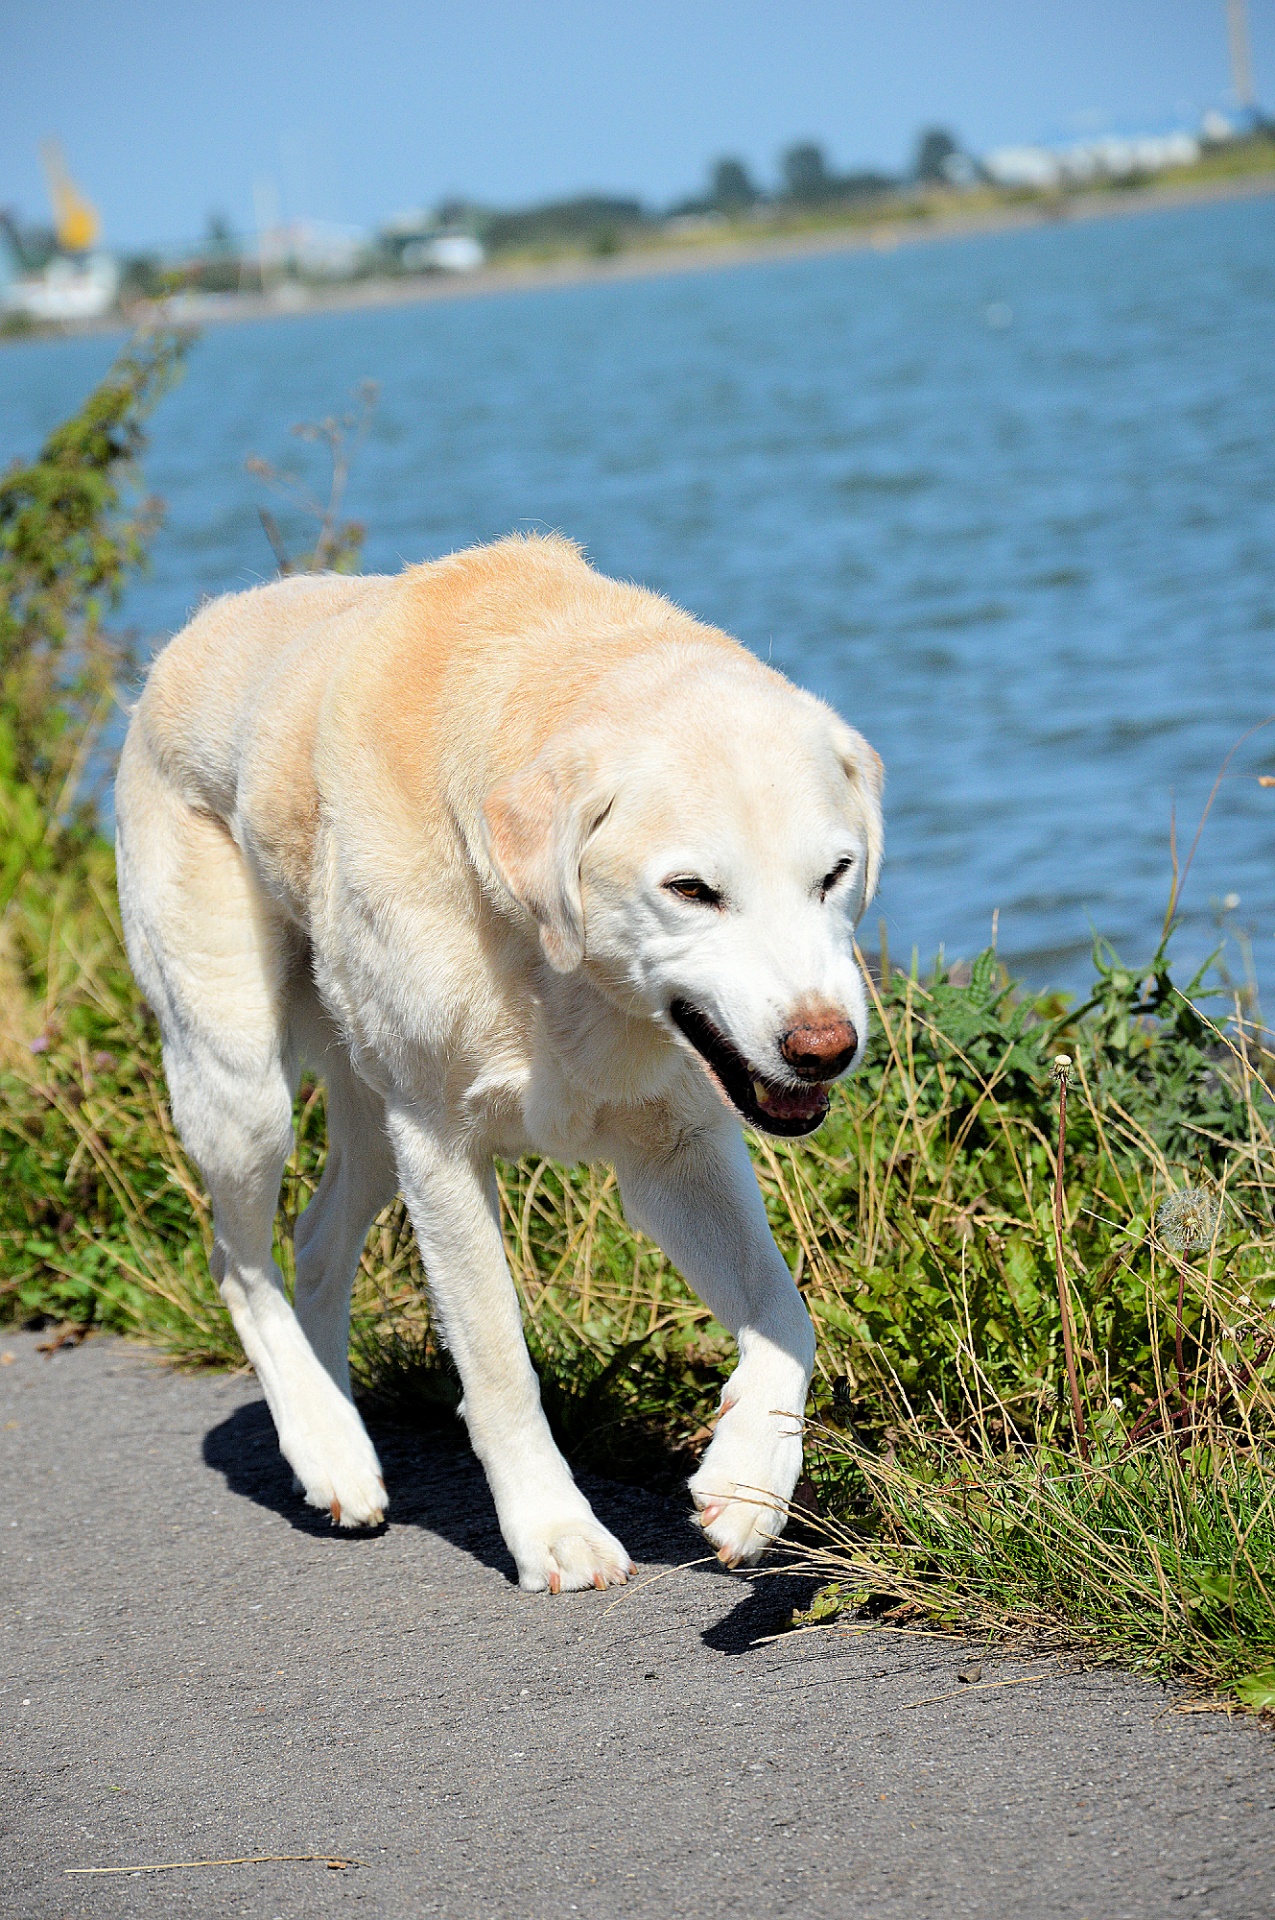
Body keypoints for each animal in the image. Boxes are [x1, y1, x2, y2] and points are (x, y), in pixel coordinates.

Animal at [114, 537, 883, 1589]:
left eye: (834, 875)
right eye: (690, 890)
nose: (824, 1048)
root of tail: (198, 628)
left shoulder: (677, 1150)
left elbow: (784, 1310)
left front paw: (748, 1478)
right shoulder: (439, 1151)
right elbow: (496, 1363)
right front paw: (554, 1530)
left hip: (368, 1116)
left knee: (314, 1242)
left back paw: (344, 1445)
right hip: (243, 1086)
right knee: (239, 1264)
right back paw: (321, 1441)